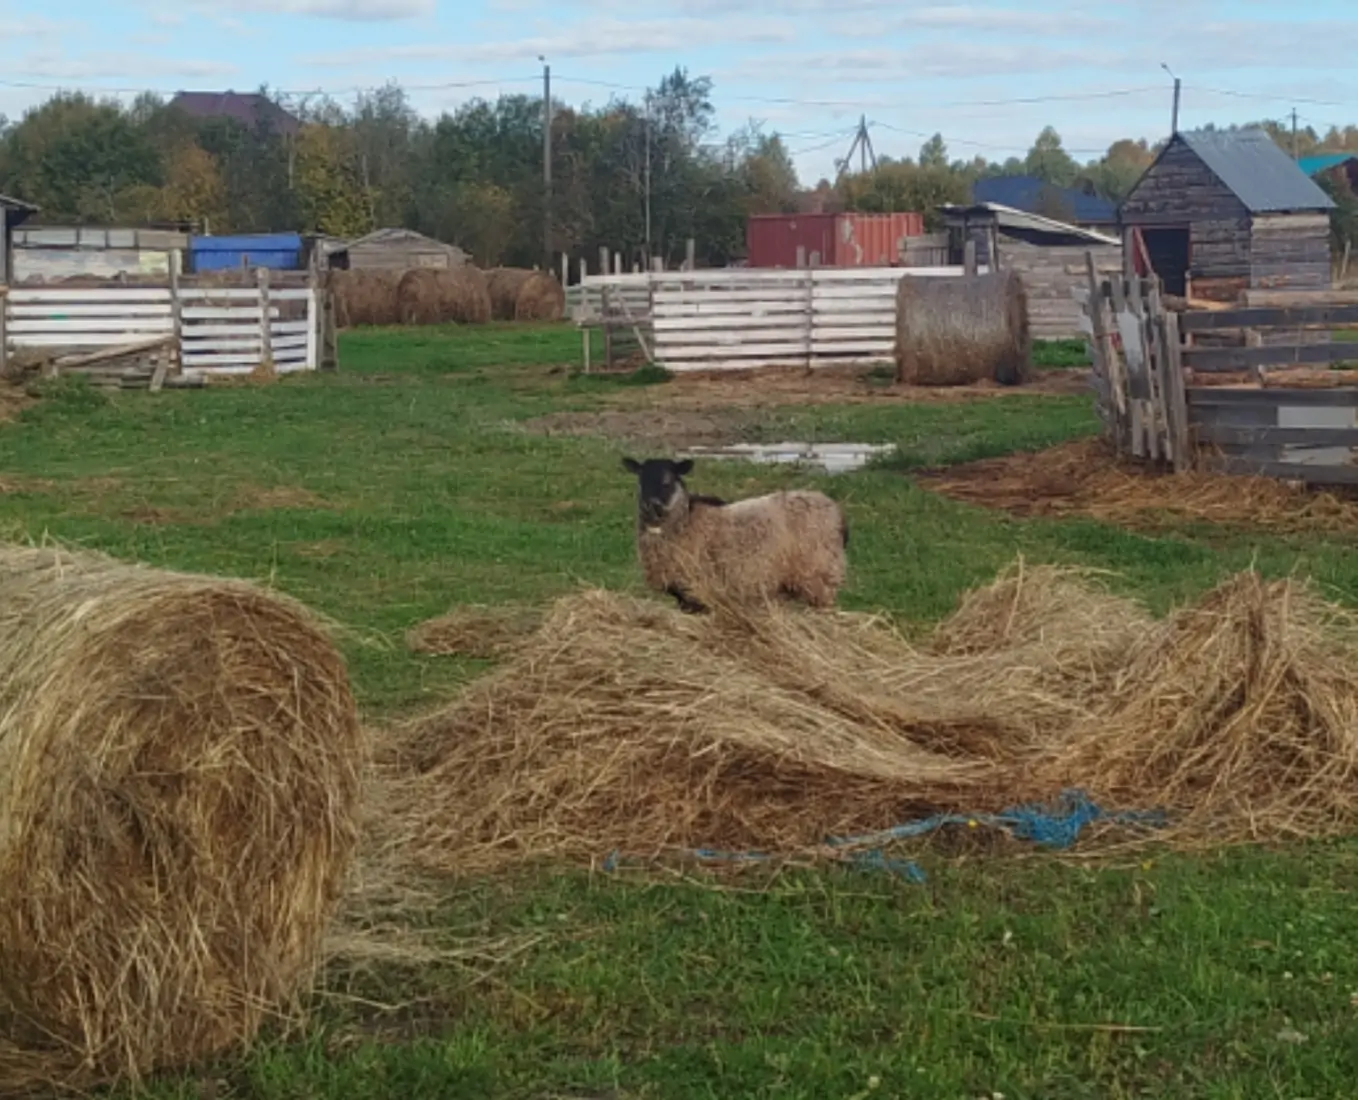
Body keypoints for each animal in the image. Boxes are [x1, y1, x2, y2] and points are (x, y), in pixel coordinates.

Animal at [620, 456, 849, 613]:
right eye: (640, 481)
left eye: (668, 481)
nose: (651, 506)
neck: (687, 519)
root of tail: (838, 514)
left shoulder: (697, 591)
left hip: (819, 574)